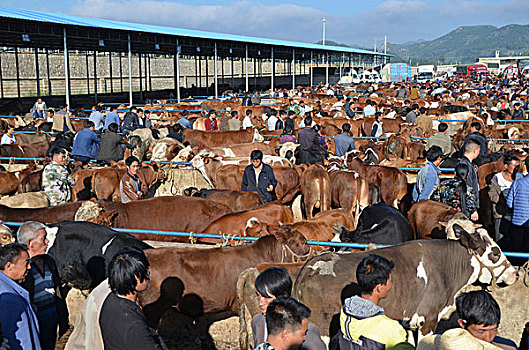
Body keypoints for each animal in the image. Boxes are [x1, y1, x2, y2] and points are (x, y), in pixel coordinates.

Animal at [290, 224, 512, 340]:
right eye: (495, 252)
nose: (514, 274)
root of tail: (311, 265)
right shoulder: (428, 319)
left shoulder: (410, 322)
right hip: (322, 329)